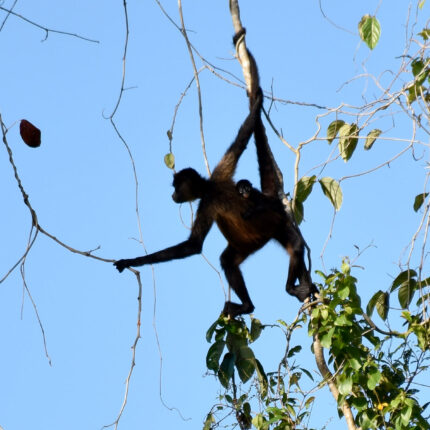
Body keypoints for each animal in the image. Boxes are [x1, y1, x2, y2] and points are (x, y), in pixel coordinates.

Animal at [113, 29, 316, 316]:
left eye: (176, 187)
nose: (173, 196)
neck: (210, 186)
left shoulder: (206, 202)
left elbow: (193, 245)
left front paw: (132, 259)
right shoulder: (221, 171)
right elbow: (243, 138)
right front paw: (256, 105)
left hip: (279, 222)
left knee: (296, 246)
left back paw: (286, 288)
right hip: (249, 242)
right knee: (228, 260)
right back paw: (248, 305)